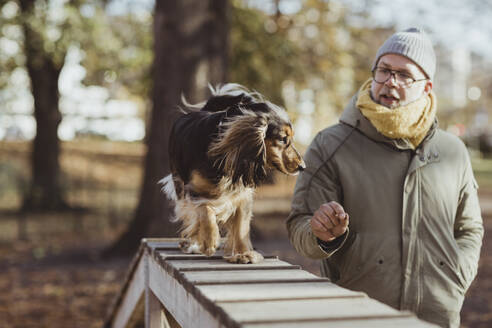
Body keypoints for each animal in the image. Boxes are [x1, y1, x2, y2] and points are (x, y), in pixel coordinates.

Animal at [160, 84, 306, 264]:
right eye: (283, 139)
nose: (302, 166)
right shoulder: (193, 190)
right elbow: (204, 210)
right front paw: (209, 240)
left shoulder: (242, 194)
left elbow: (241, 226)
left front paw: (244, 253)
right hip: (179, 185)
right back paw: (195, 243)